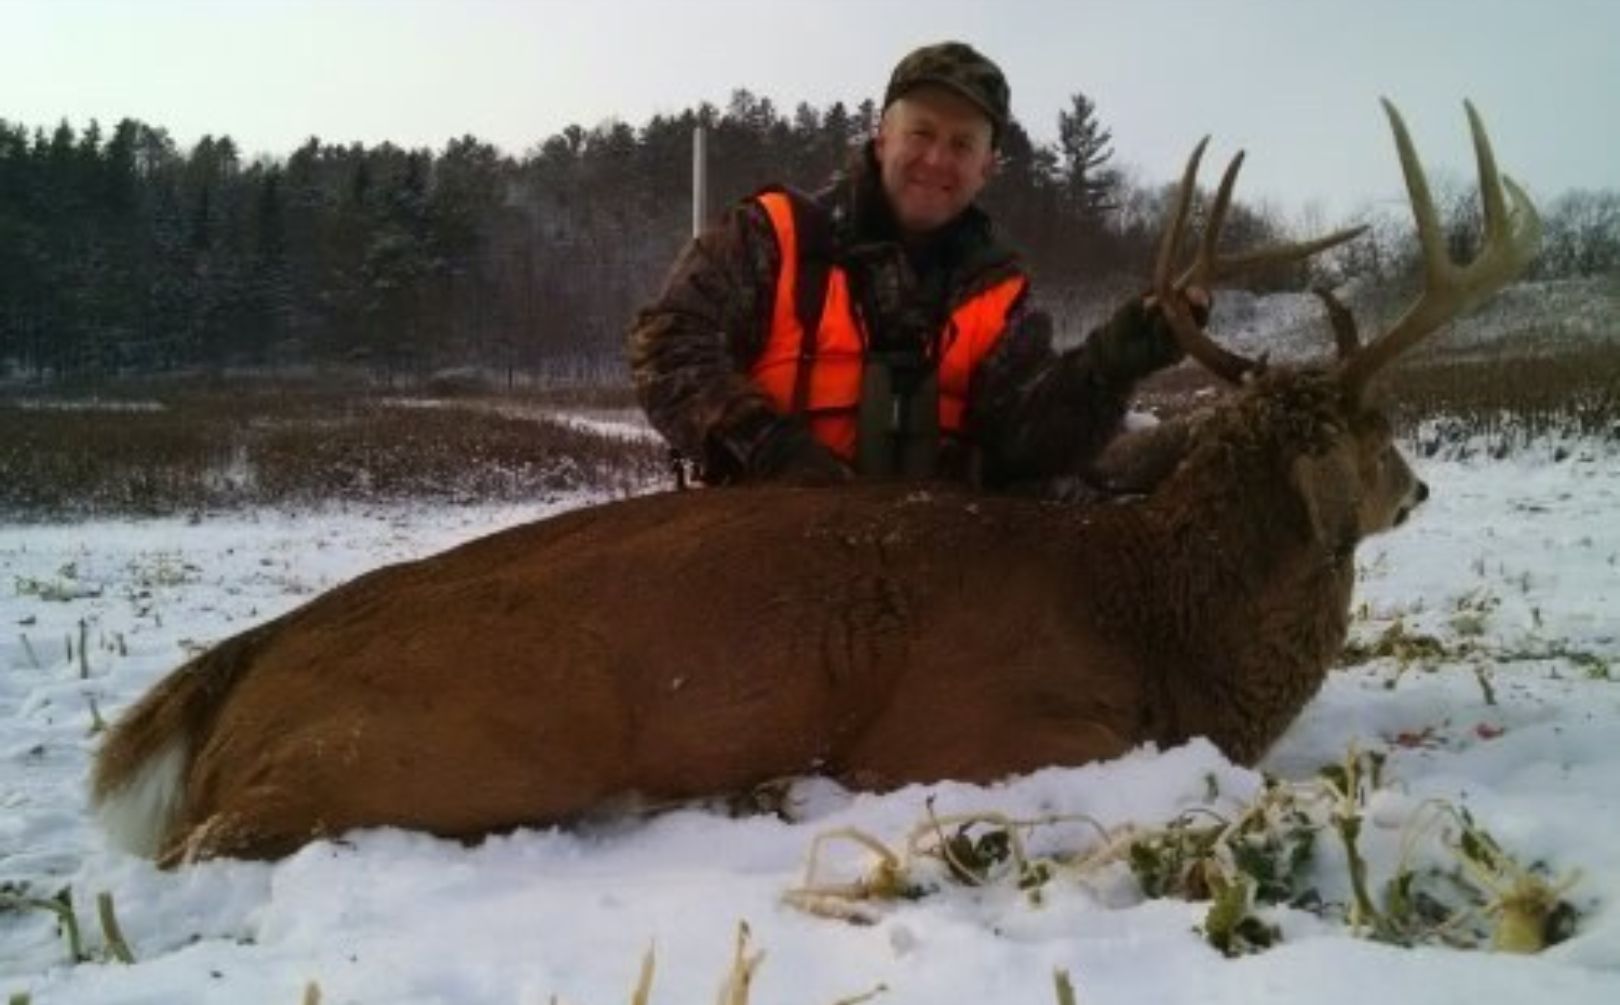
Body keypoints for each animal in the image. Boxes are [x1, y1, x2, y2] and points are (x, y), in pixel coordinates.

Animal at [94, 102, 1535, 862]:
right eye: (1374, 424)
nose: (1417, 492)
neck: (1153, 619)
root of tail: (237, 667)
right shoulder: (968, 727)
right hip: (438, 754)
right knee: (206, 839)